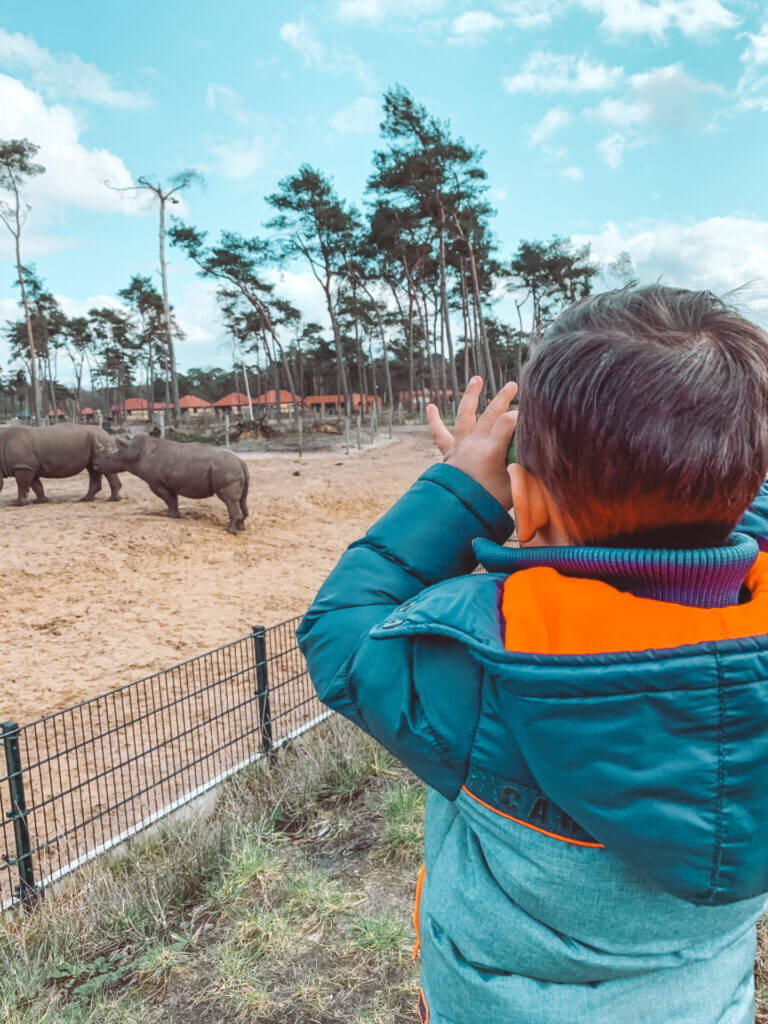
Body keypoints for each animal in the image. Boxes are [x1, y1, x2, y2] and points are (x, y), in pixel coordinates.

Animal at [92, 428, 249, 536]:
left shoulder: (156, 483)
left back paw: (230, 531)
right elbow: (173, 499)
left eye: (108, 458)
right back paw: (241, 528)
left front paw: (172, 516)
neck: (132, 452)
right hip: (233, 469)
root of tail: (241, 462)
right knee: (241, 499)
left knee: (229, 500)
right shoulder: (171, 482)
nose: (96, 464)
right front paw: (176, 515)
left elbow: (168, 499)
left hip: (226, 469)